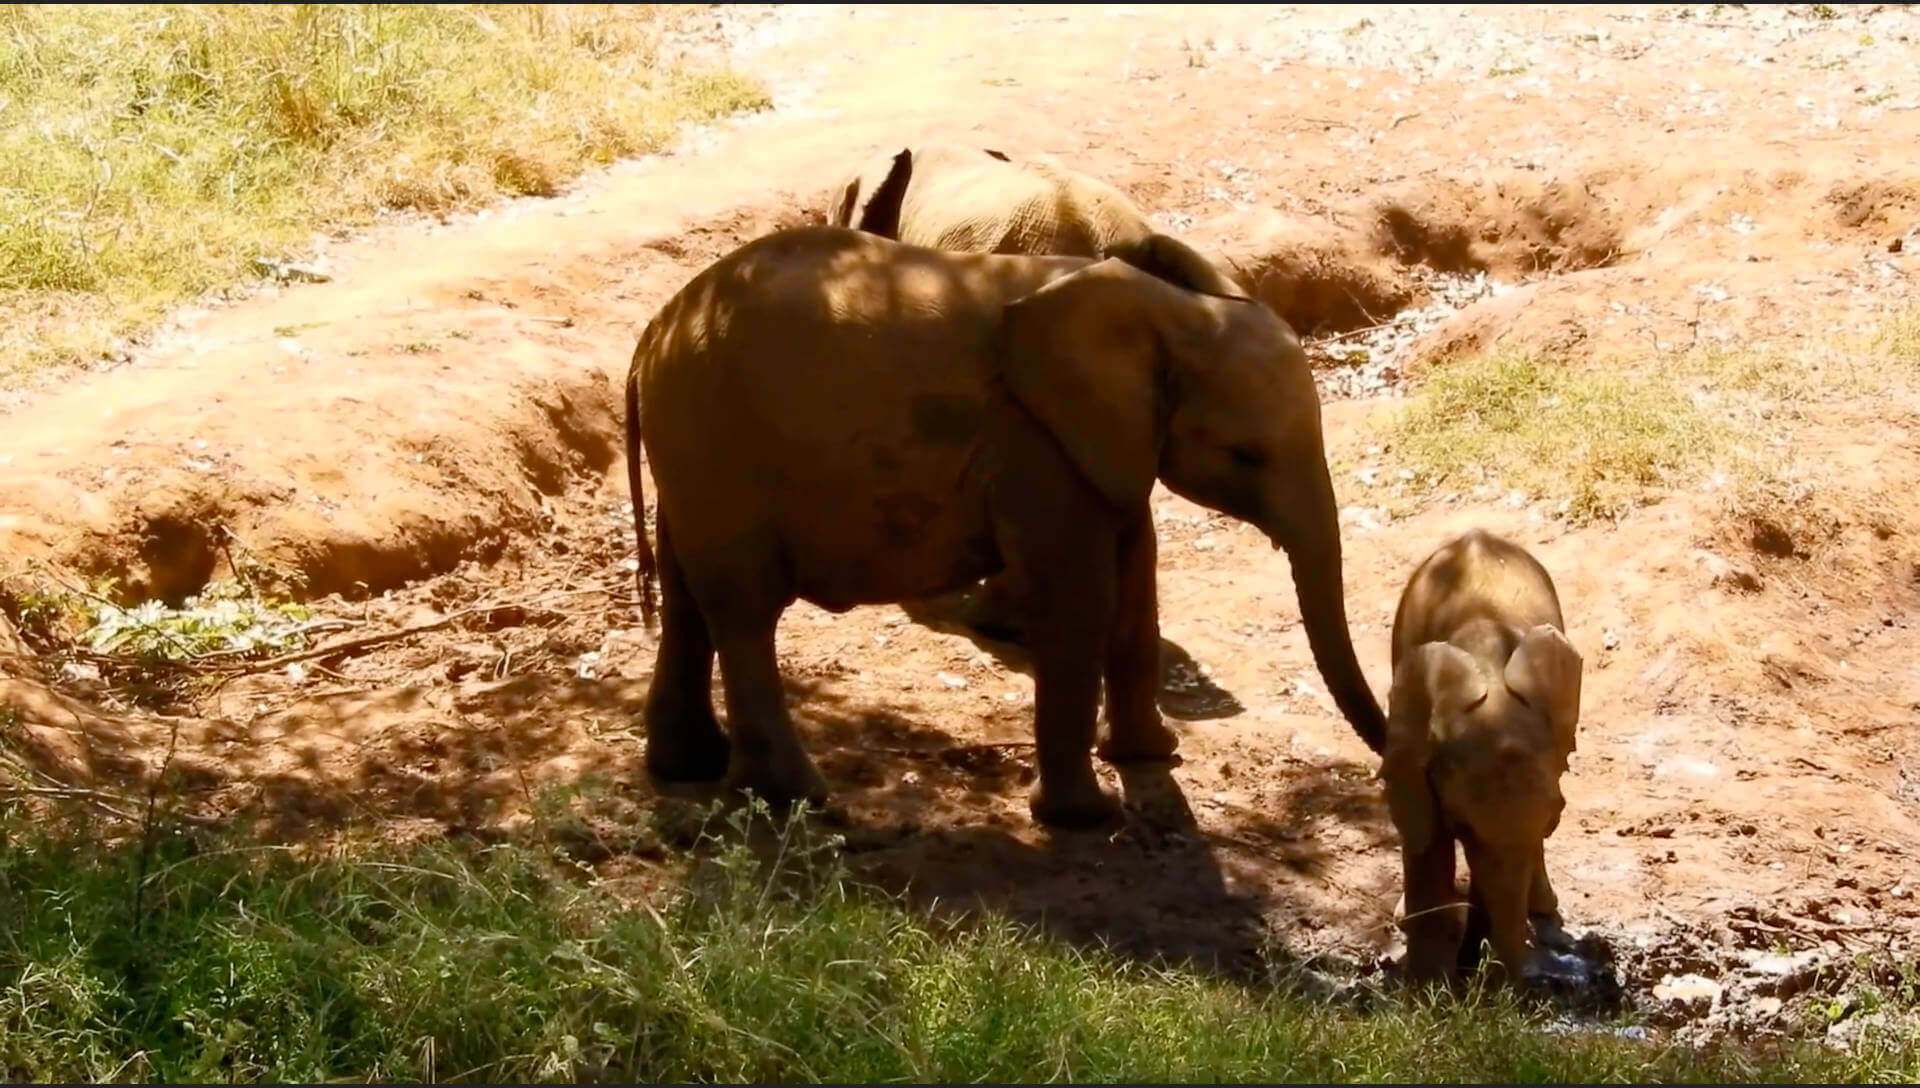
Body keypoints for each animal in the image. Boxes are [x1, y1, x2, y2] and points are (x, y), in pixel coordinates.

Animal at [624, 225, 1386, 829]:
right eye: (1245, 454)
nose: (1384, 765)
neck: (1167, 310)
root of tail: (650, 337)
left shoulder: (1105, 442)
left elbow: (1137, 578)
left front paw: (1149, 756)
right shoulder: (1034, 443)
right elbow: (1080, 598)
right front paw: (1085, 819)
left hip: (691, 455)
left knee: (690, 598)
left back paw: (690, 767)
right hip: (715, 447)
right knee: (745, 612)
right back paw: (799, 801)